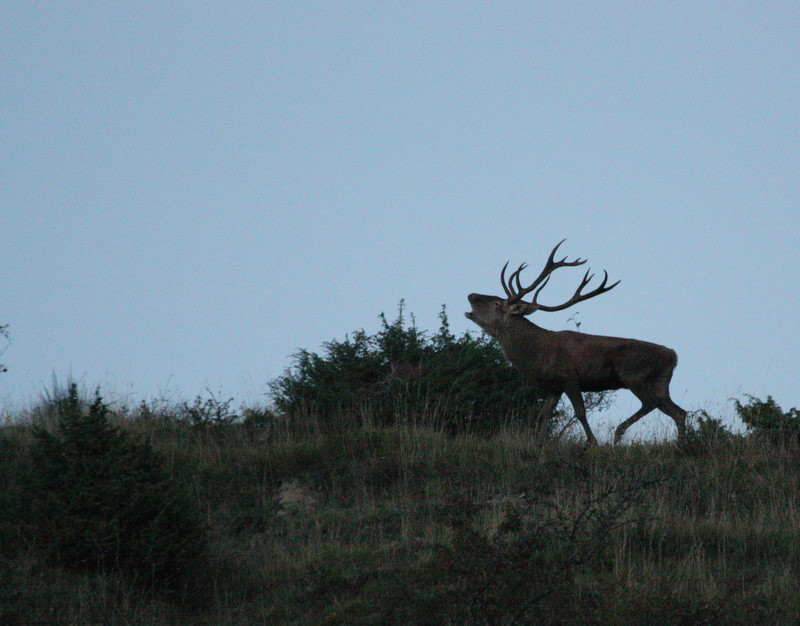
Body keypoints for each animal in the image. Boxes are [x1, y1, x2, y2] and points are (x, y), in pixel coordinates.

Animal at [462, 239, 688, 444]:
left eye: (496, 302)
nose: (471, 294)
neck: (537, 353)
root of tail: (672, 355)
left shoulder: (569, 376)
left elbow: (580, 411)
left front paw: (592, 442)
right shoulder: (553, 386)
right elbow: (543, 414)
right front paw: (539, 443)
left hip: (633, 374)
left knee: (651, 403)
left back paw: (618, 433)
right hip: (661, 381)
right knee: (678, 411)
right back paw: (681, 443)